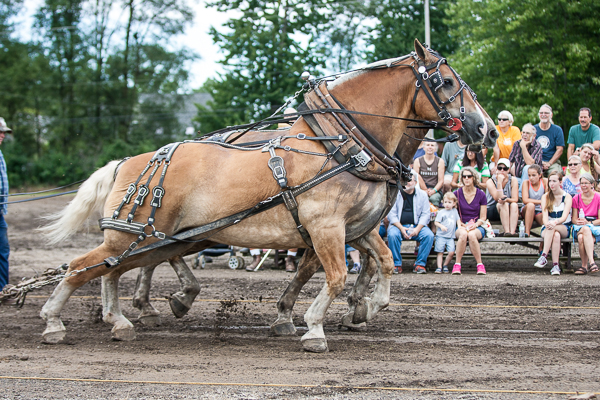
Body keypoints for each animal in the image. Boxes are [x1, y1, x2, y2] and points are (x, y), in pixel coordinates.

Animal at [38, 40, 496, 352]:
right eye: (446, 82)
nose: (487, 130)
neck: (342, 147)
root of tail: (127, 162)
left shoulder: (355, 227)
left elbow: (380, 262)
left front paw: (363, 308)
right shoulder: (325, 227)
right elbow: (335, 275)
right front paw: (313, 326)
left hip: (160, 237)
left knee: (111, 269)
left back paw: (124, 318)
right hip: (137, 235)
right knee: (82, 267)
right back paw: (56, 321)